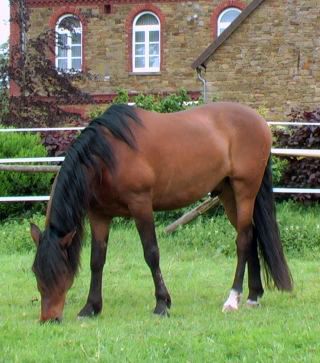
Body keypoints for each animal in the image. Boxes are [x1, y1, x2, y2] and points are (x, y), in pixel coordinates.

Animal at [30, 102, 292, 324]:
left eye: (59, 272)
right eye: (35, 272)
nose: (49, 319)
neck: (107, 156)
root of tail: (259, 121)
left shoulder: (141, 205)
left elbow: (151, 253)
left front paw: (162, 304)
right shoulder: (99, 215)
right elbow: (97, 260)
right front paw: (91, 307)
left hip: (245, 189)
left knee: (243, 240)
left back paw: (232, 299)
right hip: (228, 194)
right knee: (251, 236)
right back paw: (253, 296)